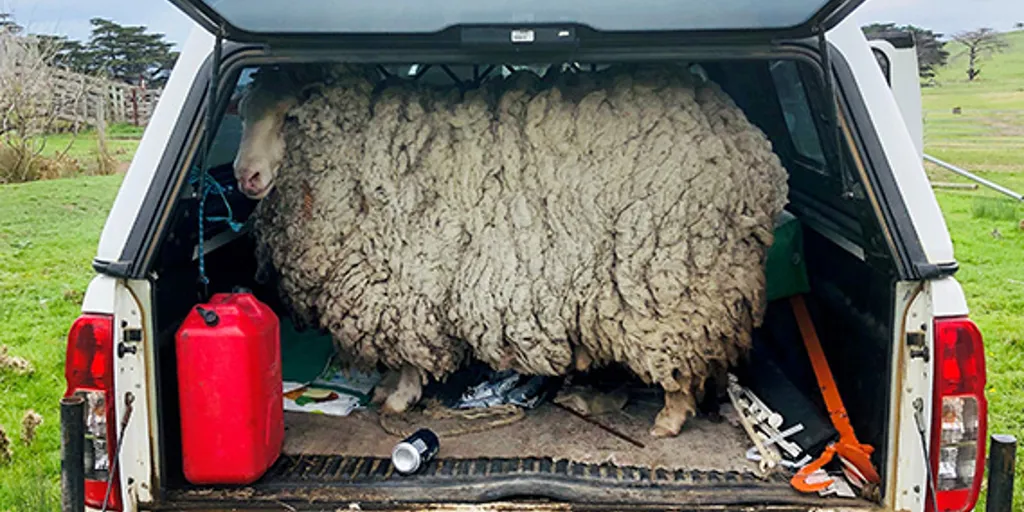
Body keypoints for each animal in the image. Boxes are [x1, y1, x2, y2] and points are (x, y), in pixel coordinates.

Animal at [240, 63, 789, 437]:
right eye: (244, 112)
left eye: (292, 115)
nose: (245, 177)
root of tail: (752, 149)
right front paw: (388, 389)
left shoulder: (406, 283)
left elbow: (411, 357)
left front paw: (399, 398)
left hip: (671, 287)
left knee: (677, 360)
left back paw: (669, 419)